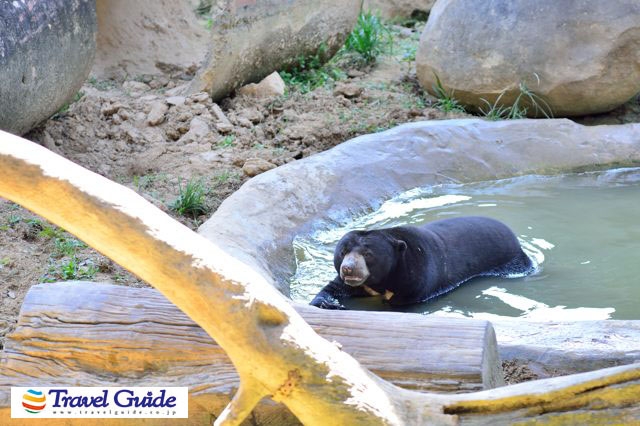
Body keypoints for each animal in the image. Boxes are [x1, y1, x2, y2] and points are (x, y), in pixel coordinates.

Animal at [310, 216, 536, 310]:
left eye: (368, 254)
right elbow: (333, 288)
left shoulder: (416, 278)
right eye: (343, 252)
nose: (348, 268)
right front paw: (329, 303)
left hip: (511, 262)